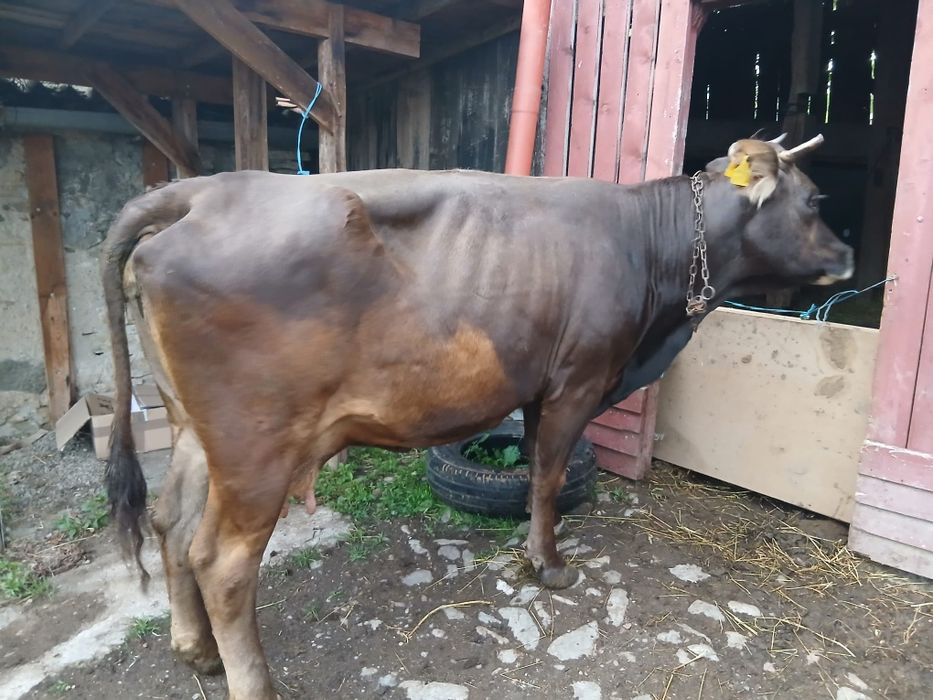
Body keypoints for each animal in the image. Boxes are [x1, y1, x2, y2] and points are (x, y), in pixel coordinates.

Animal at [101, 134, 851, 699]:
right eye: (815, 200)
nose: (846, 254)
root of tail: (203, 191)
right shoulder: (579, 379)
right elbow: (549, 475)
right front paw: (549, 565)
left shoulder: (538, 384)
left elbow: (534, 469)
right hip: (257, 444)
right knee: (221, 562)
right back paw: (253, 683)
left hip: (195, 428)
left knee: (171, 523)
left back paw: (196, 650)